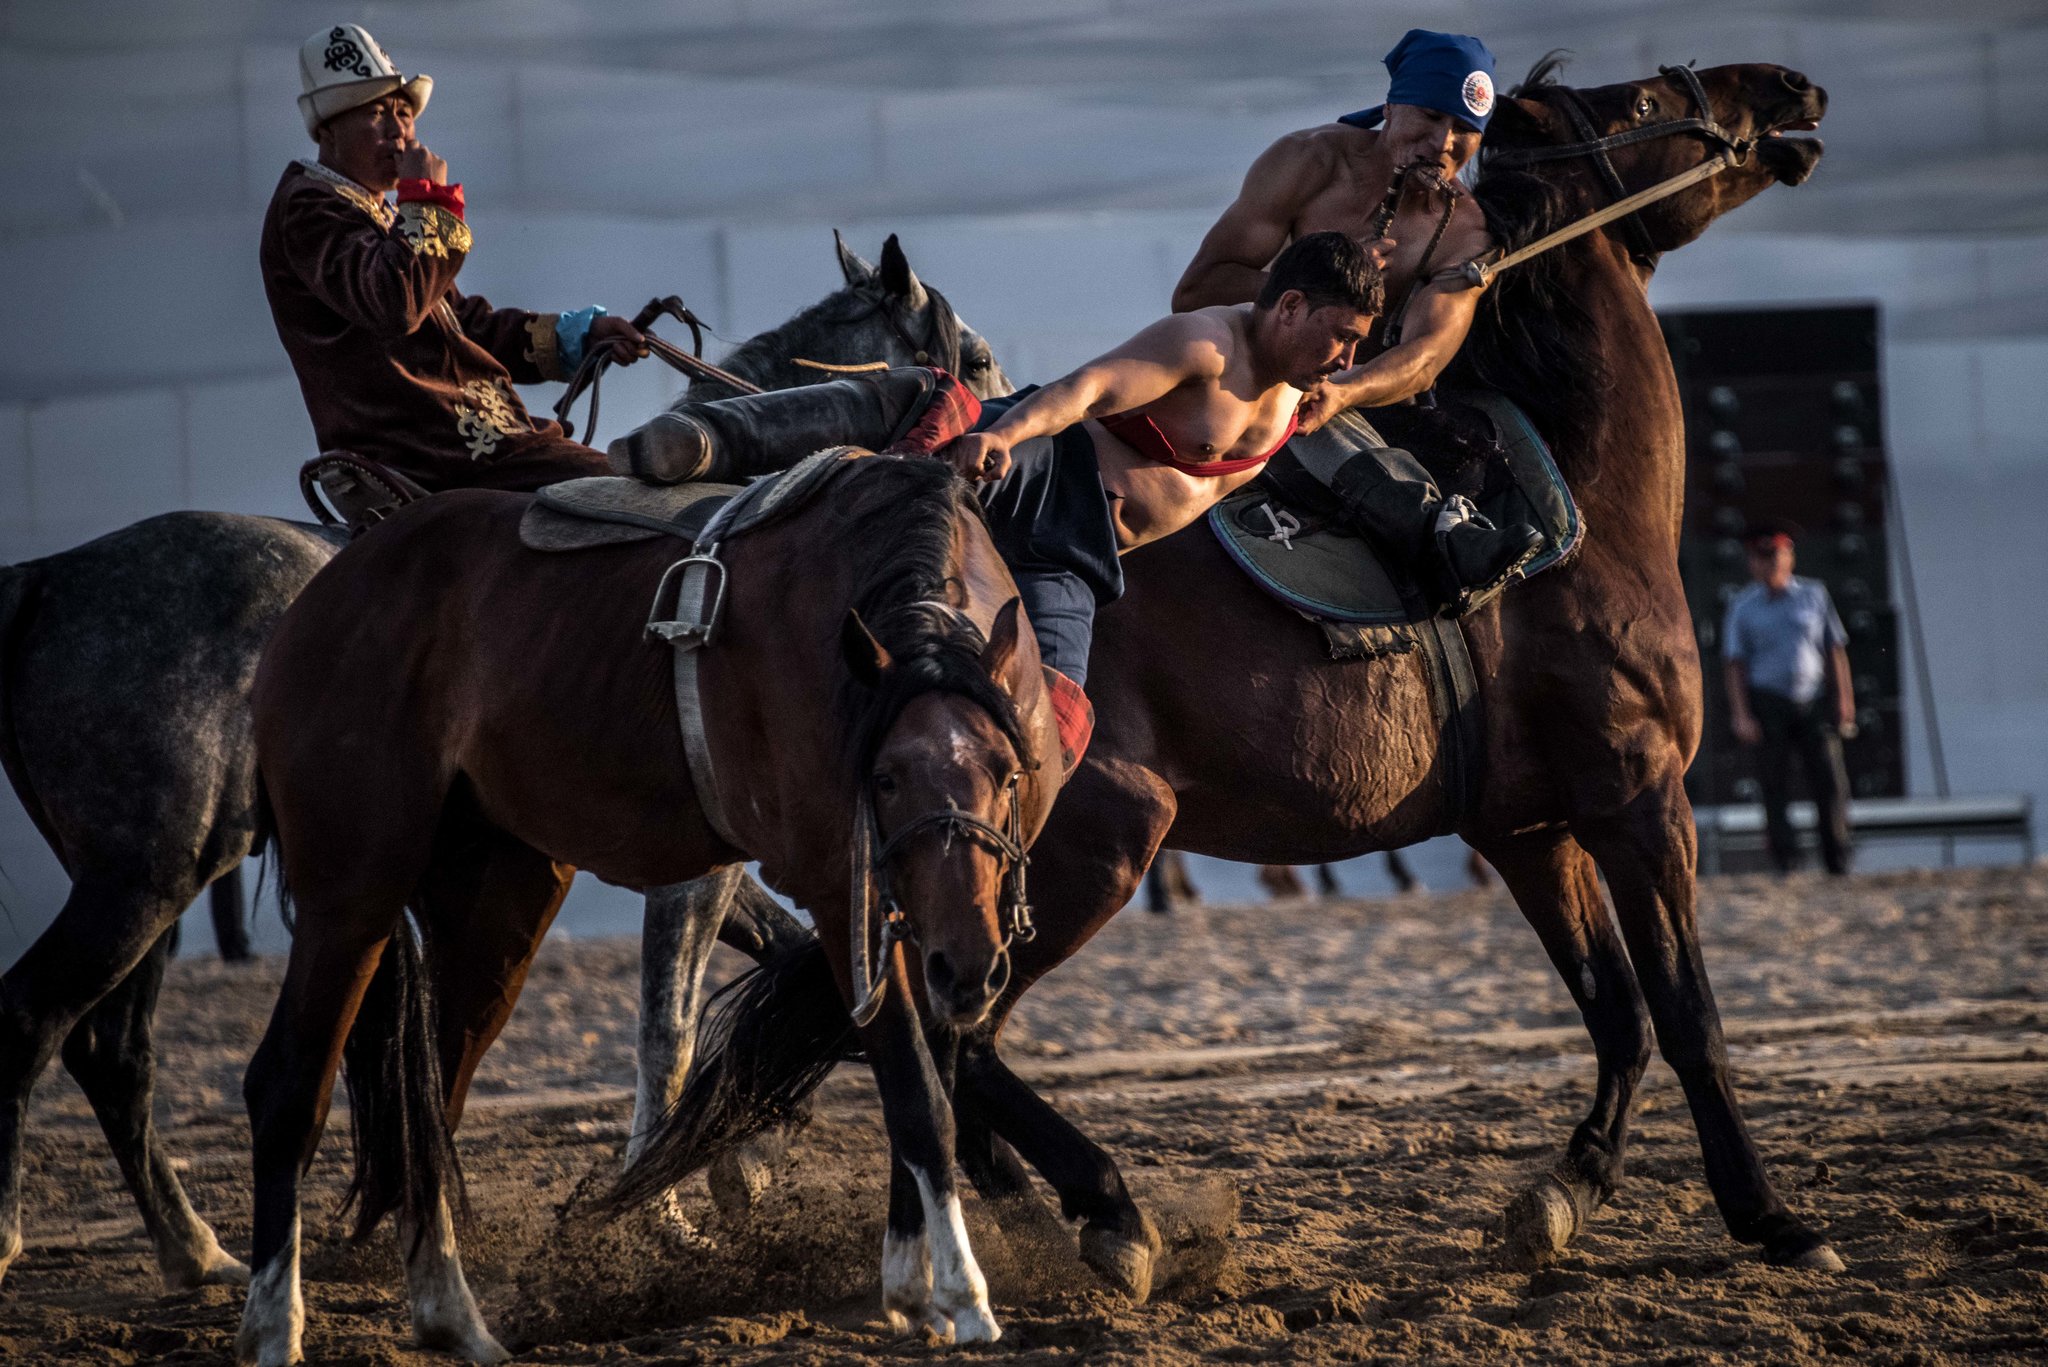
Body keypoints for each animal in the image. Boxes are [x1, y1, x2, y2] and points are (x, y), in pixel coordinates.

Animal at [0, 227, 999, 1295]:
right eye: (975, 359)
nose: (997, 460)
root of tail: (47, 579)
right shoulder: (696, 870)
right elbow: (669, 1027)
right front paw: (671, 1207)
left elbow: (779, 967)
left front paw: (743, 1162)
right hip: (147, 879)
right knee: (35, 1017)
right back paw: (23, 1232)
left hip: (153, 878)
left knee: (111, 1047)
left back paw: (197, 1248)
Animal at [241, 454, 1064, 1360]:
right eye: (884, 777)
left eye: (1005, 773)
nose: (972, 965)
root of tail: (324, 591)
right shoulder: (841, 894)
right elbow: (918, 1095)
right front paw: (959, 1293)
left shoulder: (934, 928)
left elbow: (929, 1084)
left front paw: (911, 1282)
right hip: (351, 889)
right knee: (289, 1085)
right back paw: (275, 1326)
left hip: (498, 896)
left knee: (434, 1092)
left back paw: (451, 1315)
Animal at [647, 58, 1851, 1303]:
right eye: (1649, 100)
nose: (1789, 87)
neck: (1568, 502)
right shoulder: (1638, 796)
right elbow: (1686, 1013)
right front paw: (1767, 1213)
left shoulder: (1529, 828)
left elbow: (1615, 1013)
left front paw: (1562, 1192)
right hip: (1095, 842)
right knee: (952, 1028)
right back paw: (1098, 1212)